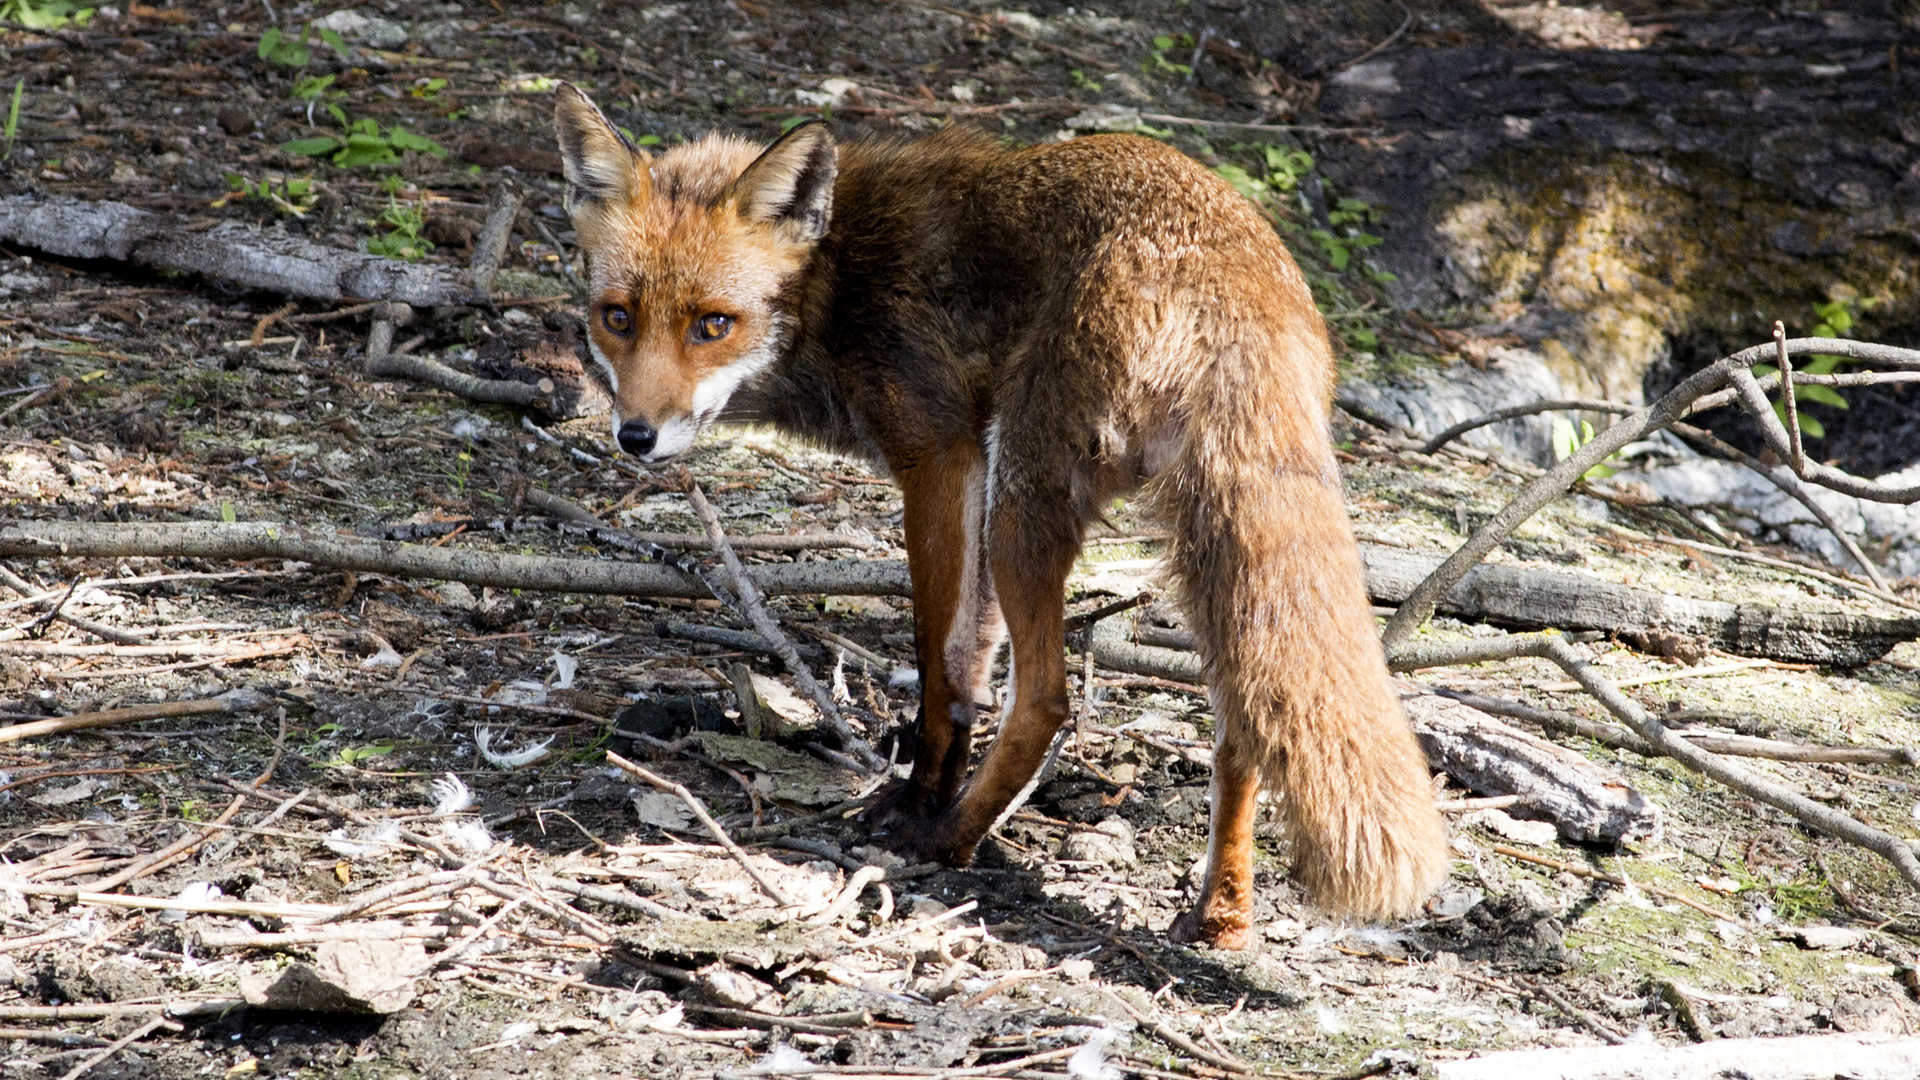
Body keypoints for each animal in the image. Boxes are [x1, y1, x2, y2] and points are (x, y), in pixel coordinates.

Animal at [552, 82, 1443, 941]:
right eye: (617, 316)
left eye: (713, 324)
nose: (636, 436)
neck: (839, 282)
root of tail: (1242, 282)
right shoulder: (972, 471)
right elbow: (973, 656)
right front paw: (933, 785)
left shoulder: (939, 459)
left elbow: (941, 662)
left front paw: (920, 802)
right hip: (1193, 545)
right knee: (1241, 735)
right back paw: (1220, 916)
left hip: (1028, 504)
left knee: (1047, 701)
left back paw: (952, 841)